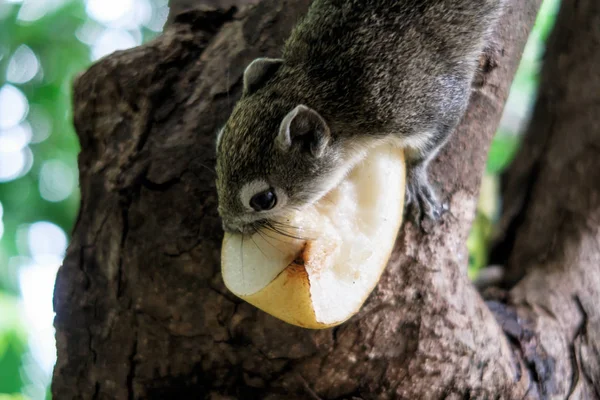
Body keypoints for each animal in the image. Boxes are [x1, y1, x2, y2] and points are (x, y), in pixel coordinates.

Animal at [213, 0, 504, 234]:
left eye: (264, 200)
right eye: (218, 144)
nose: (228, 226)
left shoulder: (423, 106)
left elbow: (428, 146)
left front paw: (416, 179)